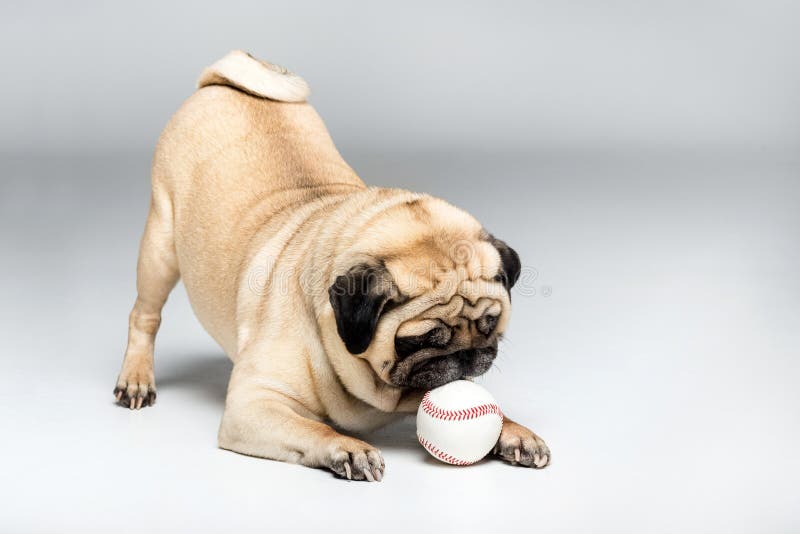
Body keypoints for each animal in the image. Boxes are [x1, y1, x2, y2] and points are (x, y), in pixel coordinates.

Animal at [114, 52, 552, 484]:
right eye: (420, 340)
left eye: (489, 324)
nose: (466, 355)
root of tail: (221, 81)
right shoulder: (252, 406)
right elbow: (314, 428)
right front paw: (348, 448)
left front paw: (513, 432)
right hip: (160, 248)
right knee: (144, 316)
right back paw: (136, 378)